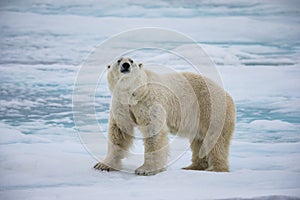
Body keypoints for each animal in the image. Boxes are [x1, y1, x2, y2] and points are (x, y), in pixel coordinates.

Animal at [95, 56, 236, 175]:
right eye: (119, 60)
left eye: (131, 61)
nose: (125, 65)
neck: (134, 93)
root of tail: (227, 94)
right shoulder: (120, 104)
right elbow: (119, 131)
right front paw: (103, 165)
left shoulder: (149, 101)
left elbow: (153, 131)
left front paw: (145, 169)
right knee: (199, 141)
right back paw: (193, 166)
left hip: (212, 109)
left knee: (215, 140)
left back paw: (216, 168)